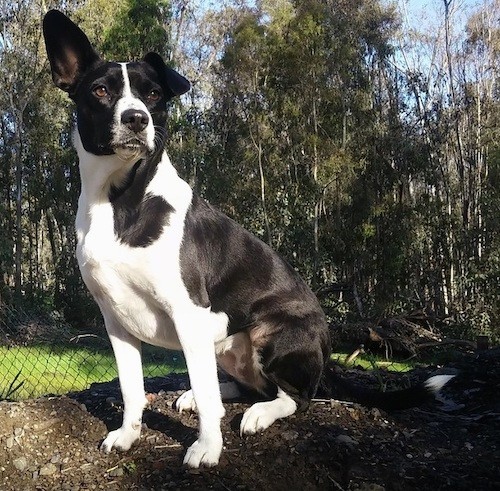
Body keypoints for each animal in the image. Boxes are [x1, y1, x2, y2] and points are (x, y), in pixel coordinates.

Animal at [43, 8, 456, 468]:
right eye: (100, 90)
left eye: (152, 94)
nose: (136, 119)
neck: (121, 200)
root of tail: (324, 356)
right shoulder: (116, 322)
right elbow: (133, 390)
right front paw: (129, 434)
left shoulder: (188, 313)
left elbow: (209, 398)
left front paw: (207, 447)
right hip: (223, 344)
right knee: (242, 385)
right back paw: (200, 396)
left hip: (269, 333)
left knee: (294, 398)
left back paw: (259, 413)